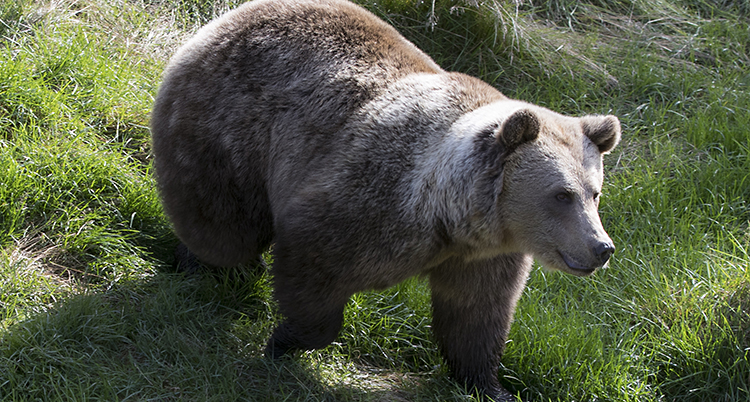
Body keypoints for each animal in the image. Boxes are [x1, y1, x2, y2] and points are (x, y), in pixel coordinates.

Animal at [151, 0, 624, 398]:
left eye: (595, 192)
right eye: (561, 195)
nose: (601, 247)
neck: (448, 216)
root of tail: (231, 16)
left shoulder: (484, 256)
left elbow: (476, 314)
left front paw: (490, 384)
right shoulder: (369, 200)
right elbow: (314, 260)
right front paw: (285, 340)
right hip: (233, 123)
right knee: (223, 218)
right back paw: (210, 265)